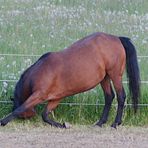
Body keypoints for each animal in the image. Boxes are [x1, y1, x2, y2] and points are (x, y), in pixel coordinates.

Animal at [0, 31, 140, 128]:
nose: (26, 120)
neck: (40, 72)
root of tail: (117, 38)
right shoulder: (56, 98)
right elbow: (45, 115)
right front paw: (61, 125)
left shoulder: (39, 95)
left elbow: (21, 108)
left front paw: (3, 121)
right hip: (104, 78)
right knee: (109, 97)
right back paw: (99, 123)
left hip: (115, 75)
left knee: (121, 96)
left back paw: (115, 123)